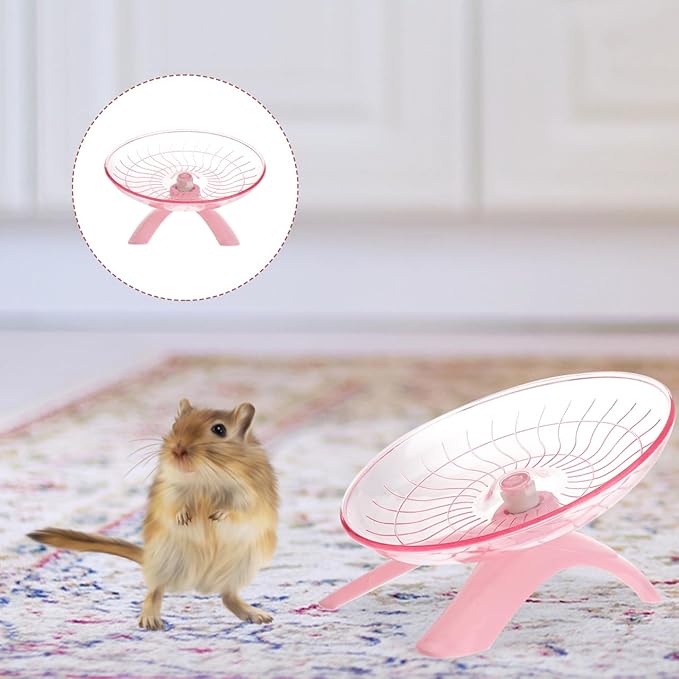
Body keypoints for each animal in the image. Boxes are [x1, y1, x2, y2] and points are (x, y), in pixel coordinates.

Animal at [28, 398, 279, 630]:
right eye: (175, 424)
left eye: (219, 429)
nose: (177, 450)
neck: (204, 478)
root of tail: (199, 584)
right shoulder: (169, 490)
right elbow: (174, 507)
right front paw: (184, 518)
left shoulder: (251, 495)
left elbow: (238, 509)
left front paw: (216, 516)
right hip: (164, 559)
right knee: (155, 591)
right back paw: (150, 620)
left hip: (240, 568)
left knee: (228, 596)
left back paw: (258, 615)